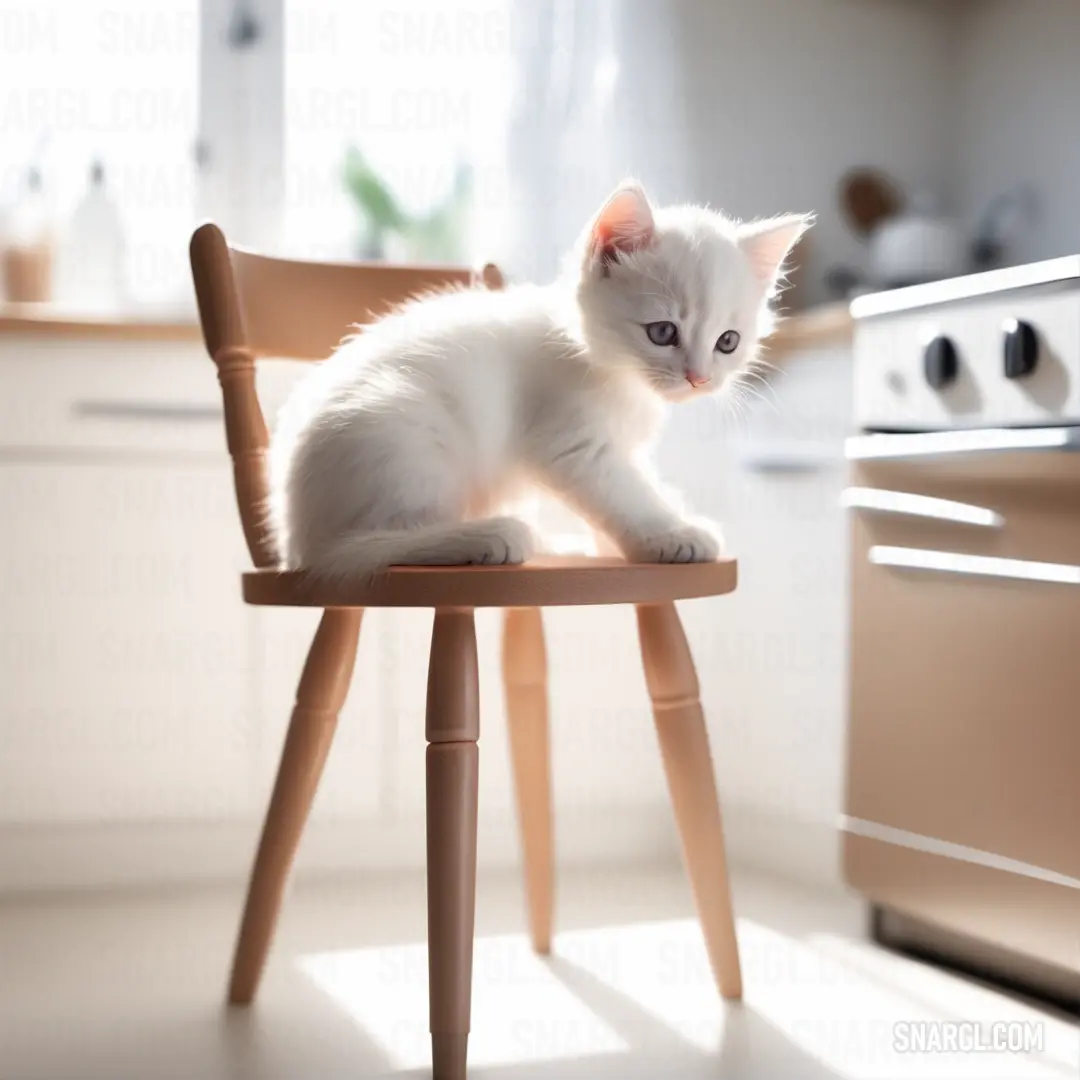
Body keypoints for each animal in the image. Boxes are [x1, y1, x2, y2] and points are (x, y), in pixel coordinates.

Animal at [267, 181, 812, 578]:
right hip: (402, 429)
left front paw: (614, 544)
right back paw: (486, 536)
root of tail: (293, 540)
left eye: (728, 342)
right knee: (371, 546)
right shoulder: (573, 445)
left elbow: (626, 489)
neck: (605, 365)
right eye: (662, 332)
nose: (698, 378)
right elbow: (626, 495)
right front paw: (669, 535)